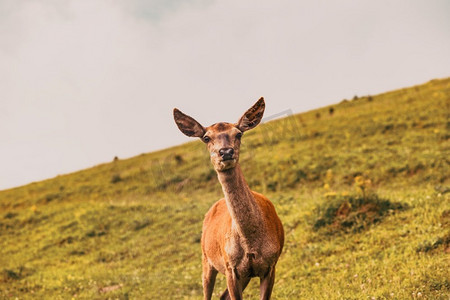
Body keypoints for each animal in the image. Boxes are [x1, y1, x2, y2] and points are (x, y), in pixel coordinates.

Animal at [173, 97, 284, 298]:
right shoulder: (231, 267)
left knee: (222, 295)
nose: (226, 152)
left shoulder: (270, 265)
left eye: (238, 134)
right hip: (206, 259)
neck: (250, 244)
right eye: (206, 137)